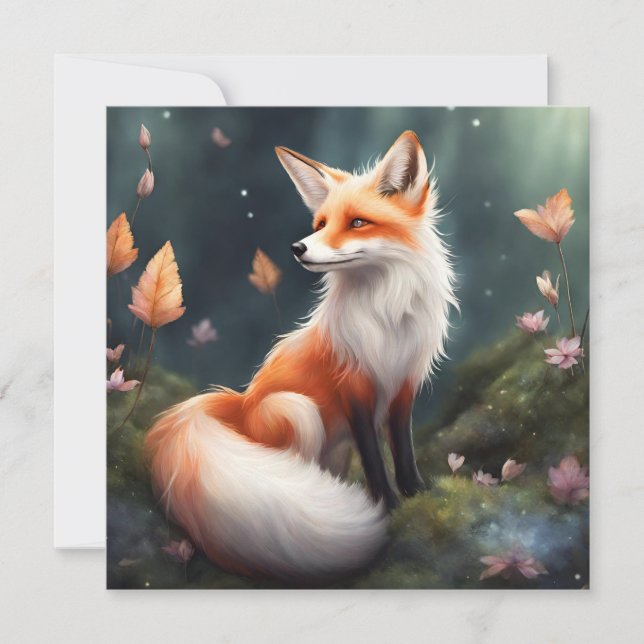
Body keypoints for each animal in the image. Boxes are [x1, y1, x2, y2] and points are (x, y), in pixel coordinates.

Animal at [144, 131, 457, 582]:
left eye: (358, 222)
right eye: (321, 224)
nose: (297, 247)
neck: (386, 318)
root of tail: (239, 404)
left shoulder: (404, 384)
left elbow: (403, 450)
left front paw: (417, 495)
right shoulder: (353, 387)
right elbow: (376, 460)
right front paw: (387, 509)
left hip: (331, 444)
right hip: (298, 411)